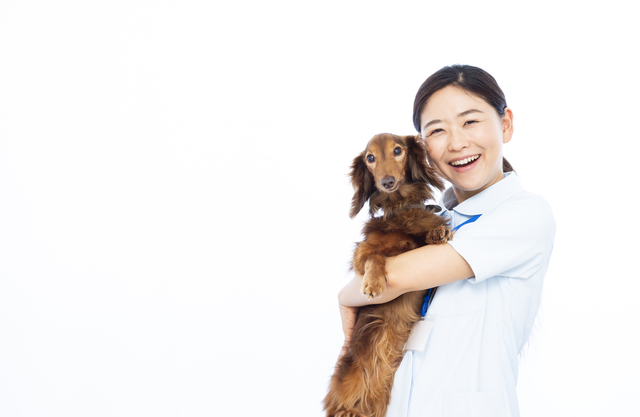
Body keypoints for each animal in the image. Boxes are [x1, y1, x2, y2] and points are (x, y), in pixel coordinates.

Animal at [322, 132, 452, 416]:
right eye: (370, 158)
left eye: (398, 150)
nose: (387, 182)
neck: (401, 206)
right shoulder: (361, 254)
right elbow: (375, 256)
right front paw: (373, 283)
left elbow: (426, 234)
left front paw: (437, 233)